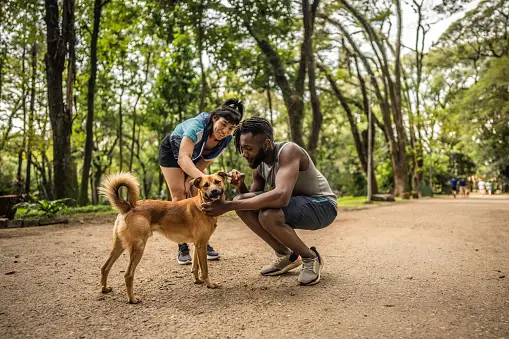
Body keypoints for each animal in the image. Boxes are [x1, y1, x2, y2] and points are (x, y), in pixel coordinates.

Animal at [98, 171, 227, 304]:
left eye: (217, 182)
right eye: (205, 185)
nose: (214, 191)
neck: (201, 204)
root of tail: (129, 206)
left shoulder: (198, 245)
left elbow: (195, 266)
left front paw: (197, 280)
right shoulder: (201, 245)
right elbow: (205, 269)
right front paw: (210, 284)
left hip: (118, 246)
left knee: (105, 267)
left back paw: (105, 288)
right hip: (138, 247)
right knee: (128, 274)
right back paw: (132, 299)